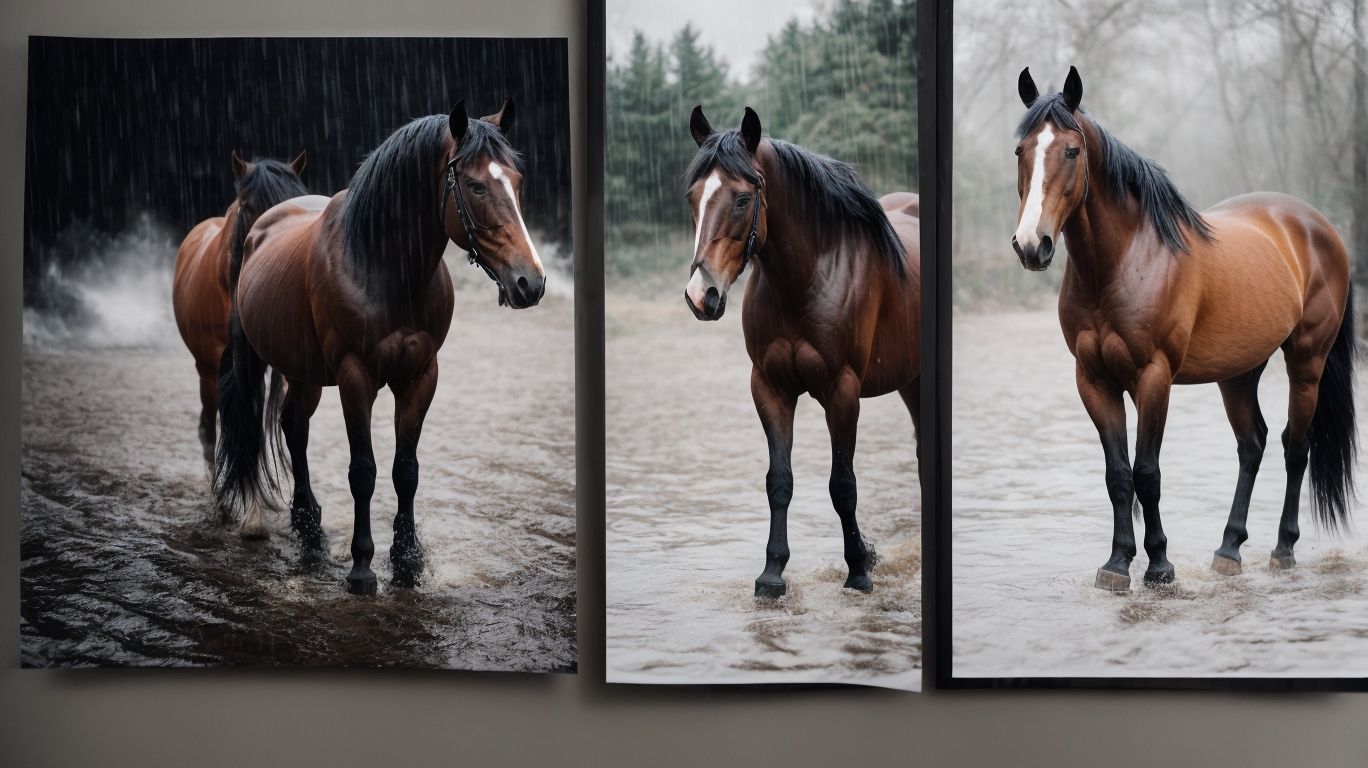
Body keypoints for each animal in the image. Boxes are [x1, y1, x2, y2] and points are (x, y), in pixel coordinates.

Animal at [215, 99, 546, 595]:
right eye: (475, 185)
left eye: (517, 181)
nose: (531, 281)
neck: (382, 267)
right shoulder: (356, 378)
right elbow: (364, 472)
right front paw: (362, 567)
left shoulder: (420, 376)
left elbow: (405, 471)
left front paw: (407, 564)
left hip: (305, 373)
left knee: (294, 426)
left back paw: (311, 533)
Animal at [684, 106, 921, 598]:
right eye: (693, 197)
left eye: (742, 199)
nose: (702, 294)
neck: (808, 276)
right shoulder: (770, 388)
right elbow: (779, 480)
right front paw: (772, 572)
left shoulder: (842, 392)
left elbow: (843, 485)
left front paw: (859, 569)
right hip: (909, 381)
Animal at [1011, 67, 1356, 593]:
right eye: (1021, 151)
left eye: (1071, 151)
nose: (1032, 245)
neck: (1124, 261)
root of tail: (1318, 226)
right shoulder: (1094, 380)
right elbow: (1119, 475)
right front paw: (1117, 563)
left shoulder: (1154, 378)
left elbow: (1147, 472)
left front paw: (1159, 566)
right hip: (1239, 372)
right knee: (1252, 445)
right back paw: (1229, 549)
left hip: (1307, 362)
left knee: (1295, 448)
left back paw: (1283, 549)